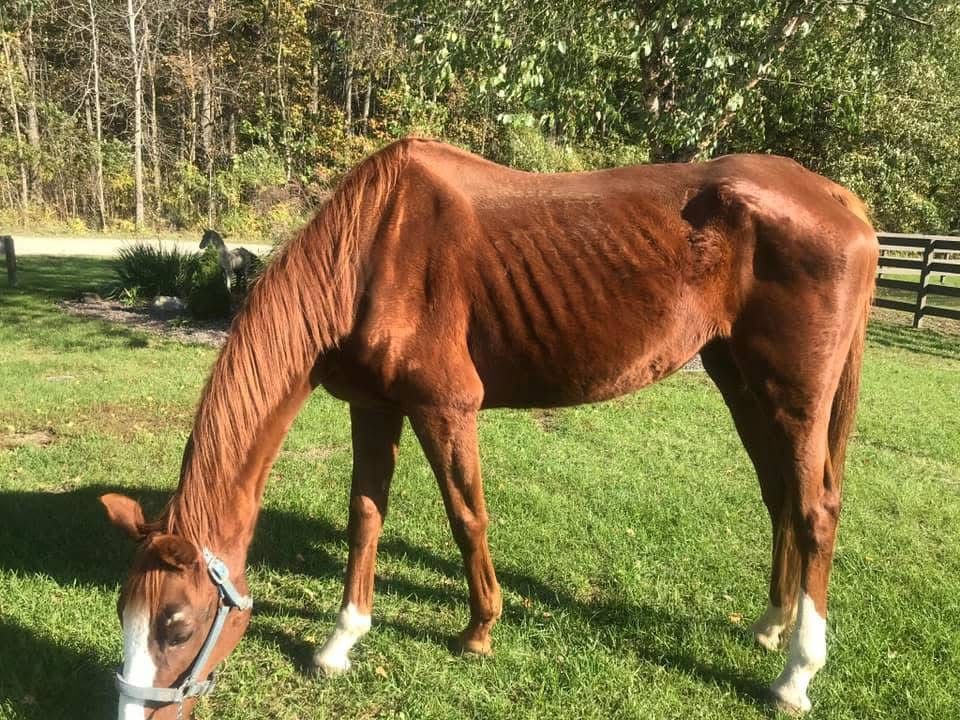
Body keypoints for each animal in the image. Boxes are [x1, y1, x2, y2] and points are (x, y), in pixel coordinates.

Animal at [101, 138, 877, 720]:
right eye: (123, 614)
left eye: (176, 624)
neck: (373, 248)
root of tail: (836, 200)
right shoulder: (373, 407)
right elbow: (365, 517)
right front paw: (341, 642)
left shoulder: (445, 408)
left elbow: (466, 515)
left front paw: (478, 631)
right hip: (738, 378)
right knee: (779, 497)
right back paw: (771, 624)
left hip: (794, 396)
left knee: (816, 510)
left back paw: (796, 675)